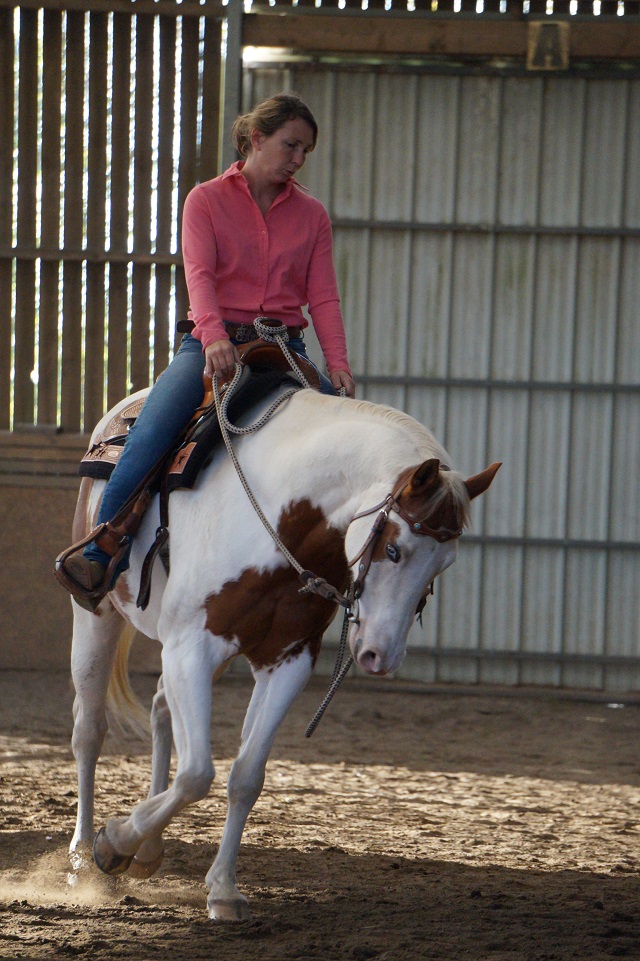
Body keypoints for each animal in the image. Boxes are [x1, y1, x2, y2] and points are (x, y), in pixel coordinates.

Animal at [66, 382, 500, 924]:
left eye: (444, 565)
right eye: (393, 549)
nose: (380, 655)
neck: (279, 520)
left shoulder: (286, 662)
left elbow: (245, 776)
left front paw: (222, 889)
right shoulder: (192, 647)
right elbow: (197, 774)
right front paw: (114, 841)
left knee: (162, 707)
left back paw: (147, 850)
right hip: (98, 616)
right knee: (90, 729)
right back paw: (82, 860)